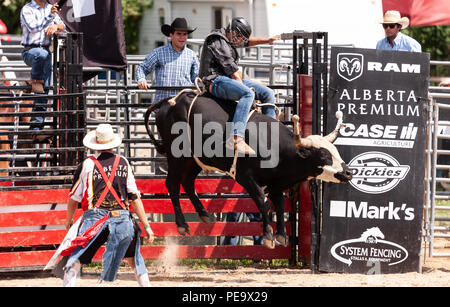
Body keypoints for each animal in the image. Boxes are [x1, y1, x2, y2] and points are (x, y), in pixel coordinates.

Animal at [144, 92, 352, 249]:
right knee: (172, 184)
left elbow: (280, 205)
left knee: (187, 182)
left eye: (335, 151)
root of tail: (169, 102)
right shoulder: (247, 178)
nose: (349, 172)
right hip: (177, 155)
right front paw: (268, 236)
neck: (272, 145)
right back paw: (182, 224)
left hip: (195, 159)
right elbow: (264, 203)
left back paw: (203, 214)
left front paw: (281, 234)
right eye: (323, 155)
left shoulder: (275, 183)